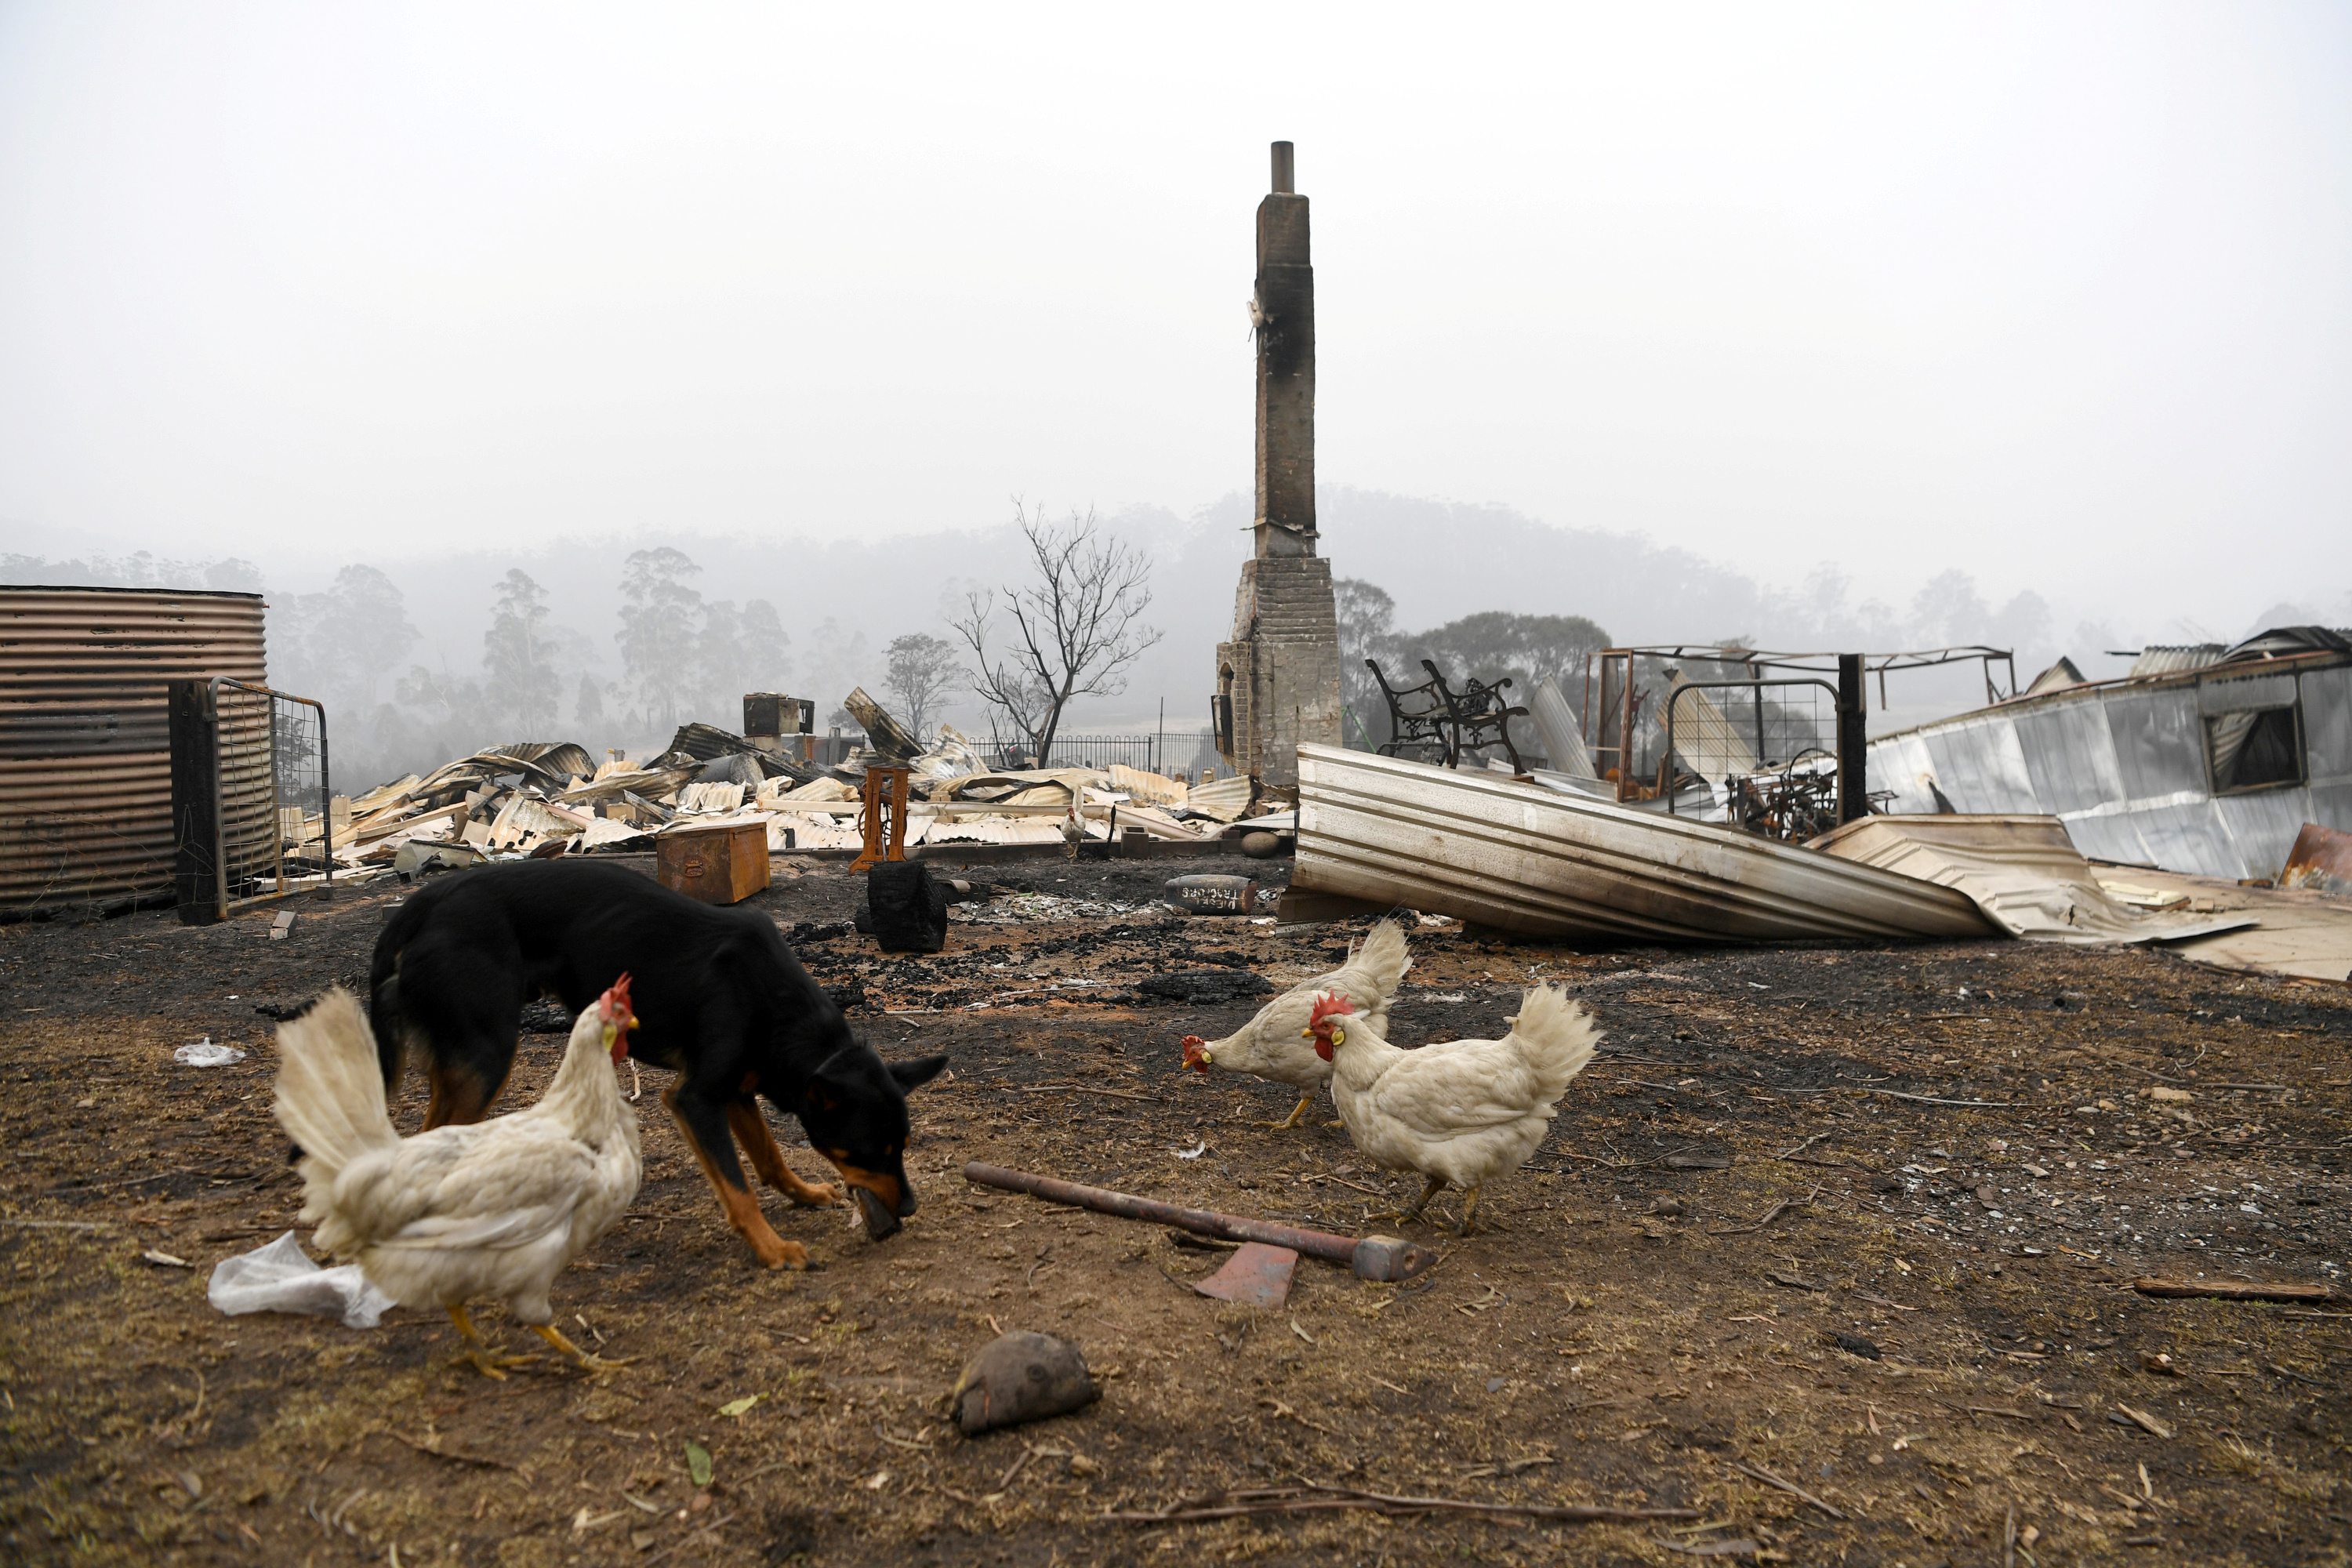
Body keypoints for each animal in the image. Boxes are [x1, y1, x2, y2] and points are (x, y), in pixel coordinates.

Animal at [367, 865, 936, 1269]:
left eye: (903, 1147)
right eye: (867, 1152)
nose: (910, 1209)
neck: (774, 1000)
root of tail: (427, 900)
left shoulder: (735, 1093)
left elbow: (769, 1158)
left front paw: (804, 1194)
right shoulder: (695, 1098)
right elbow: (738, 1187)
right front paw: (772, 1250)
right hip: (487, 1057)